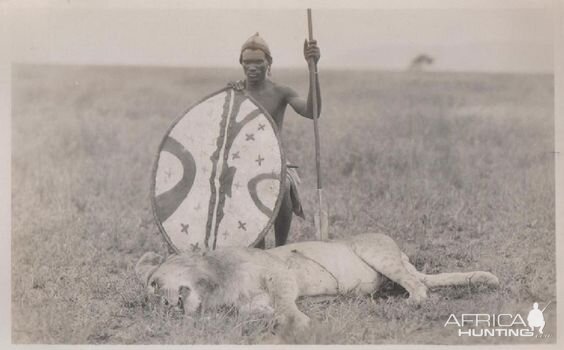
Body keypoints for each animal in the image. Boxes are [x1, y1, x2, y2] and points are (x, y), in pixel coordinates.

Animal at [135, 234, 498, 330]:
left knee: (418, 286)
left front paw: (300, 323)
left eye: (153, 284)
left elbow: (286, 304)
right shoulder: (251, 301)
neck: (214, 283)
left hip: (378, 253)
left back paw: (410, 303)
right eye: (151, 295)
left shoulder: (279, 273)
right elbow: (257, 311)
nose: (162, 305)